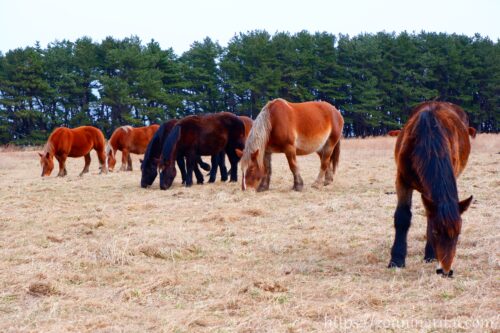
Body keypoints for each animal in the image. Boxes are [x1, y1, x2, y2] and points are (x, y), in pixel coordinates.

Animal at [388, 100, 474, 276]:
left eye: (459, 233)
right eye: (436, 232)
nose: (446, 271)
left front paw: (430, 255)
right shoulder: (402, 181)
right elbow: (402, 217)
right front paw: (397, 259)